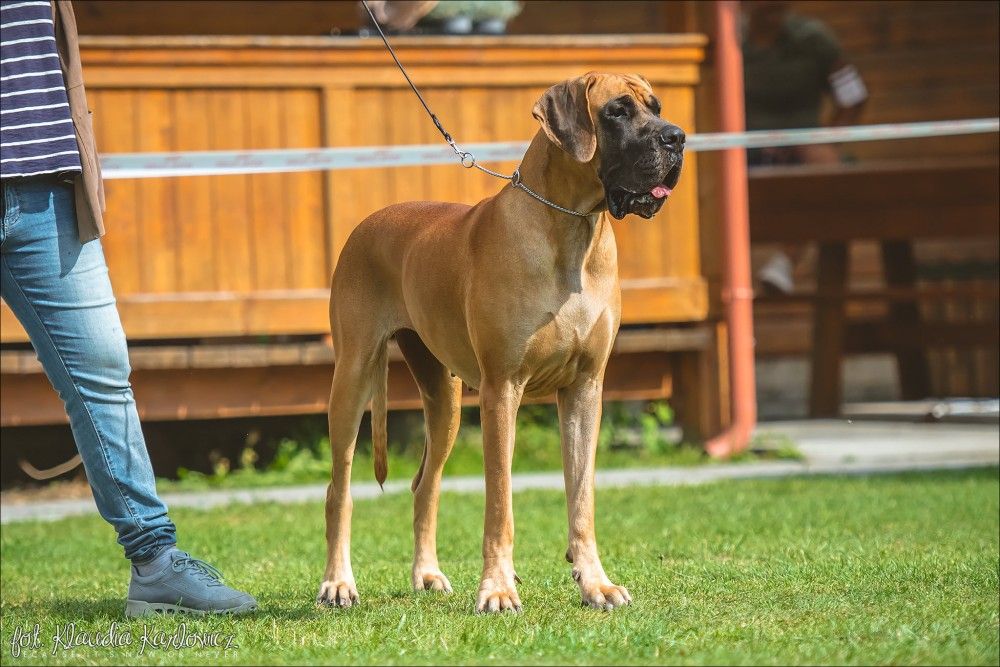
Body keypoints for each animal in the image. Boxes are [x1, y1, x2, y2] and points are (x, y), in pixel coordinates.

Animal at [317, 72, 685, 613]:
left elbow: (582, 500)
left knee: (424, 484)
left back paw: (426, 574)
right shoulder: (501, 388)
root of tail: (371, 221)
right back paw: (338, 583)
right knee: (338, 489)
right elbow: (499, 505)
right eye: (616, 111)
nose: (677, 138)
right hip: (353, 378)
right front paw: (496, 588)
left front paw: (595, 583)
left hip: (444, 399)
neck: (573, 227)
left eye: (655, 107)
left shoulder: (585, 389)